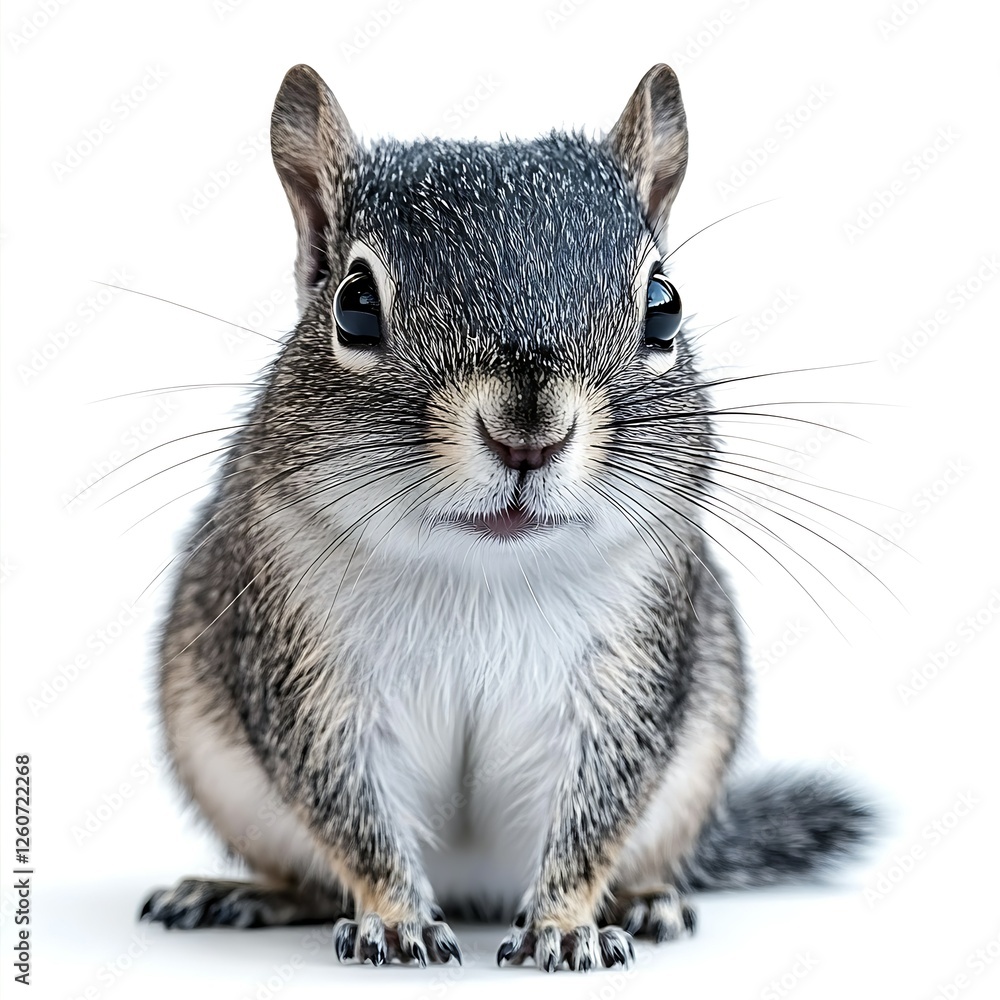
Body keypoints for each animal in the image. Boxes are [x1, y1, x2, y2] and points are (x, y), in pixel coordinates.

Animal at [140, 63, 875, 972]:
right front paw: (395, 918)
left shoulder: (627, 668)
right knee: (307, 875)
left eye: (664, 306)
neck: (485, 567)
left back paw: (647, 900)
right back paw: (243, 893)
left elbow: (597, 813)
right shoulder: (307, 668)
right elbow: (347, 807)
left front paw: (566, 925)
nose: (529, 435)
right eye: (354, 305)